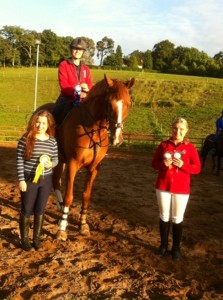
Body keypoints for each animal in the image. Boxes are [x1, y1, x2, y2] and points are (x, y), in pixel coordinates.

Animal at [38, 75, 134, 241]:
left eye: (128, 104)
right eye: (109, 103)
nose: (117, 138)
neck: (93, 129)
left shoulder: (94, 168)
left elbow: (86, 196)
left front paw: (82, 224)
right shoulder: (73, 164)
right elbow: (69, 196)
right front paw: (62, 229)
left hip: (59, 160)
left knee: (56, 181)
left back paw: (60, 210)